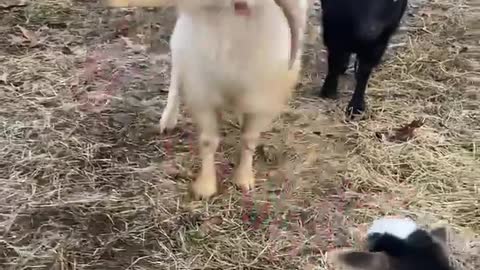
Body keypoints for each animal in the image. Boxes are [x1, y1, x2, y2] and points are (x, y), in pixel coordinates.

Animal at [103, 0, 310, 198]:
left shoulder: (262, 97)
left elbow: (249, 139)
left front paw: (243, 179)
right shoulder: (203, 90)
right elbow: (208, 141)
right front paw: (205, 186)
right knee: (176, 77)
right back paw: (168, 120)